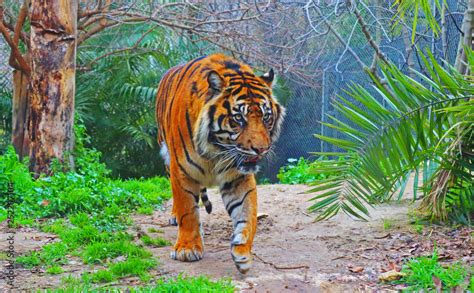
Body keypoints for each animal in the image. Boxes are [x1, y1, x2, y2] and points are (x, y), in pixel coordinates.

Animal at [156, 53, 286, 272]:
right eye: (238, 118)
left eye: (266, 117)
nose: (261, 149)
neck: (216, 149)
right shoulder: (182, 171)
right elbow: (187, 211)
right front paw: (187, 249)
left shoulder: (238, 176)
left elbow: (247, 214)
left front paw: (243, 252)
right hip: (166, 156)